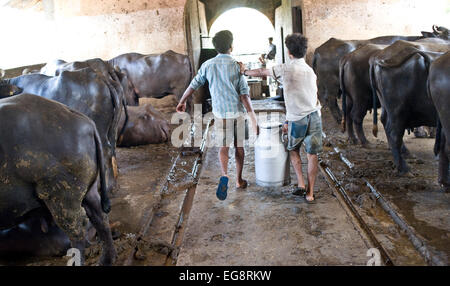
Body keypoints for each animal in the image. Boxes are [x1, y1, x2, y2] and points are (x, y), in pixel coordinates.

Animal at [0, 94, 116, 266]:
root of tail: (86, 122)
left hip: (62, 195)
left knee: (77, 229)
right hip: (89, 190)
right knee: (100, 217)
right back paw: (105, 260)